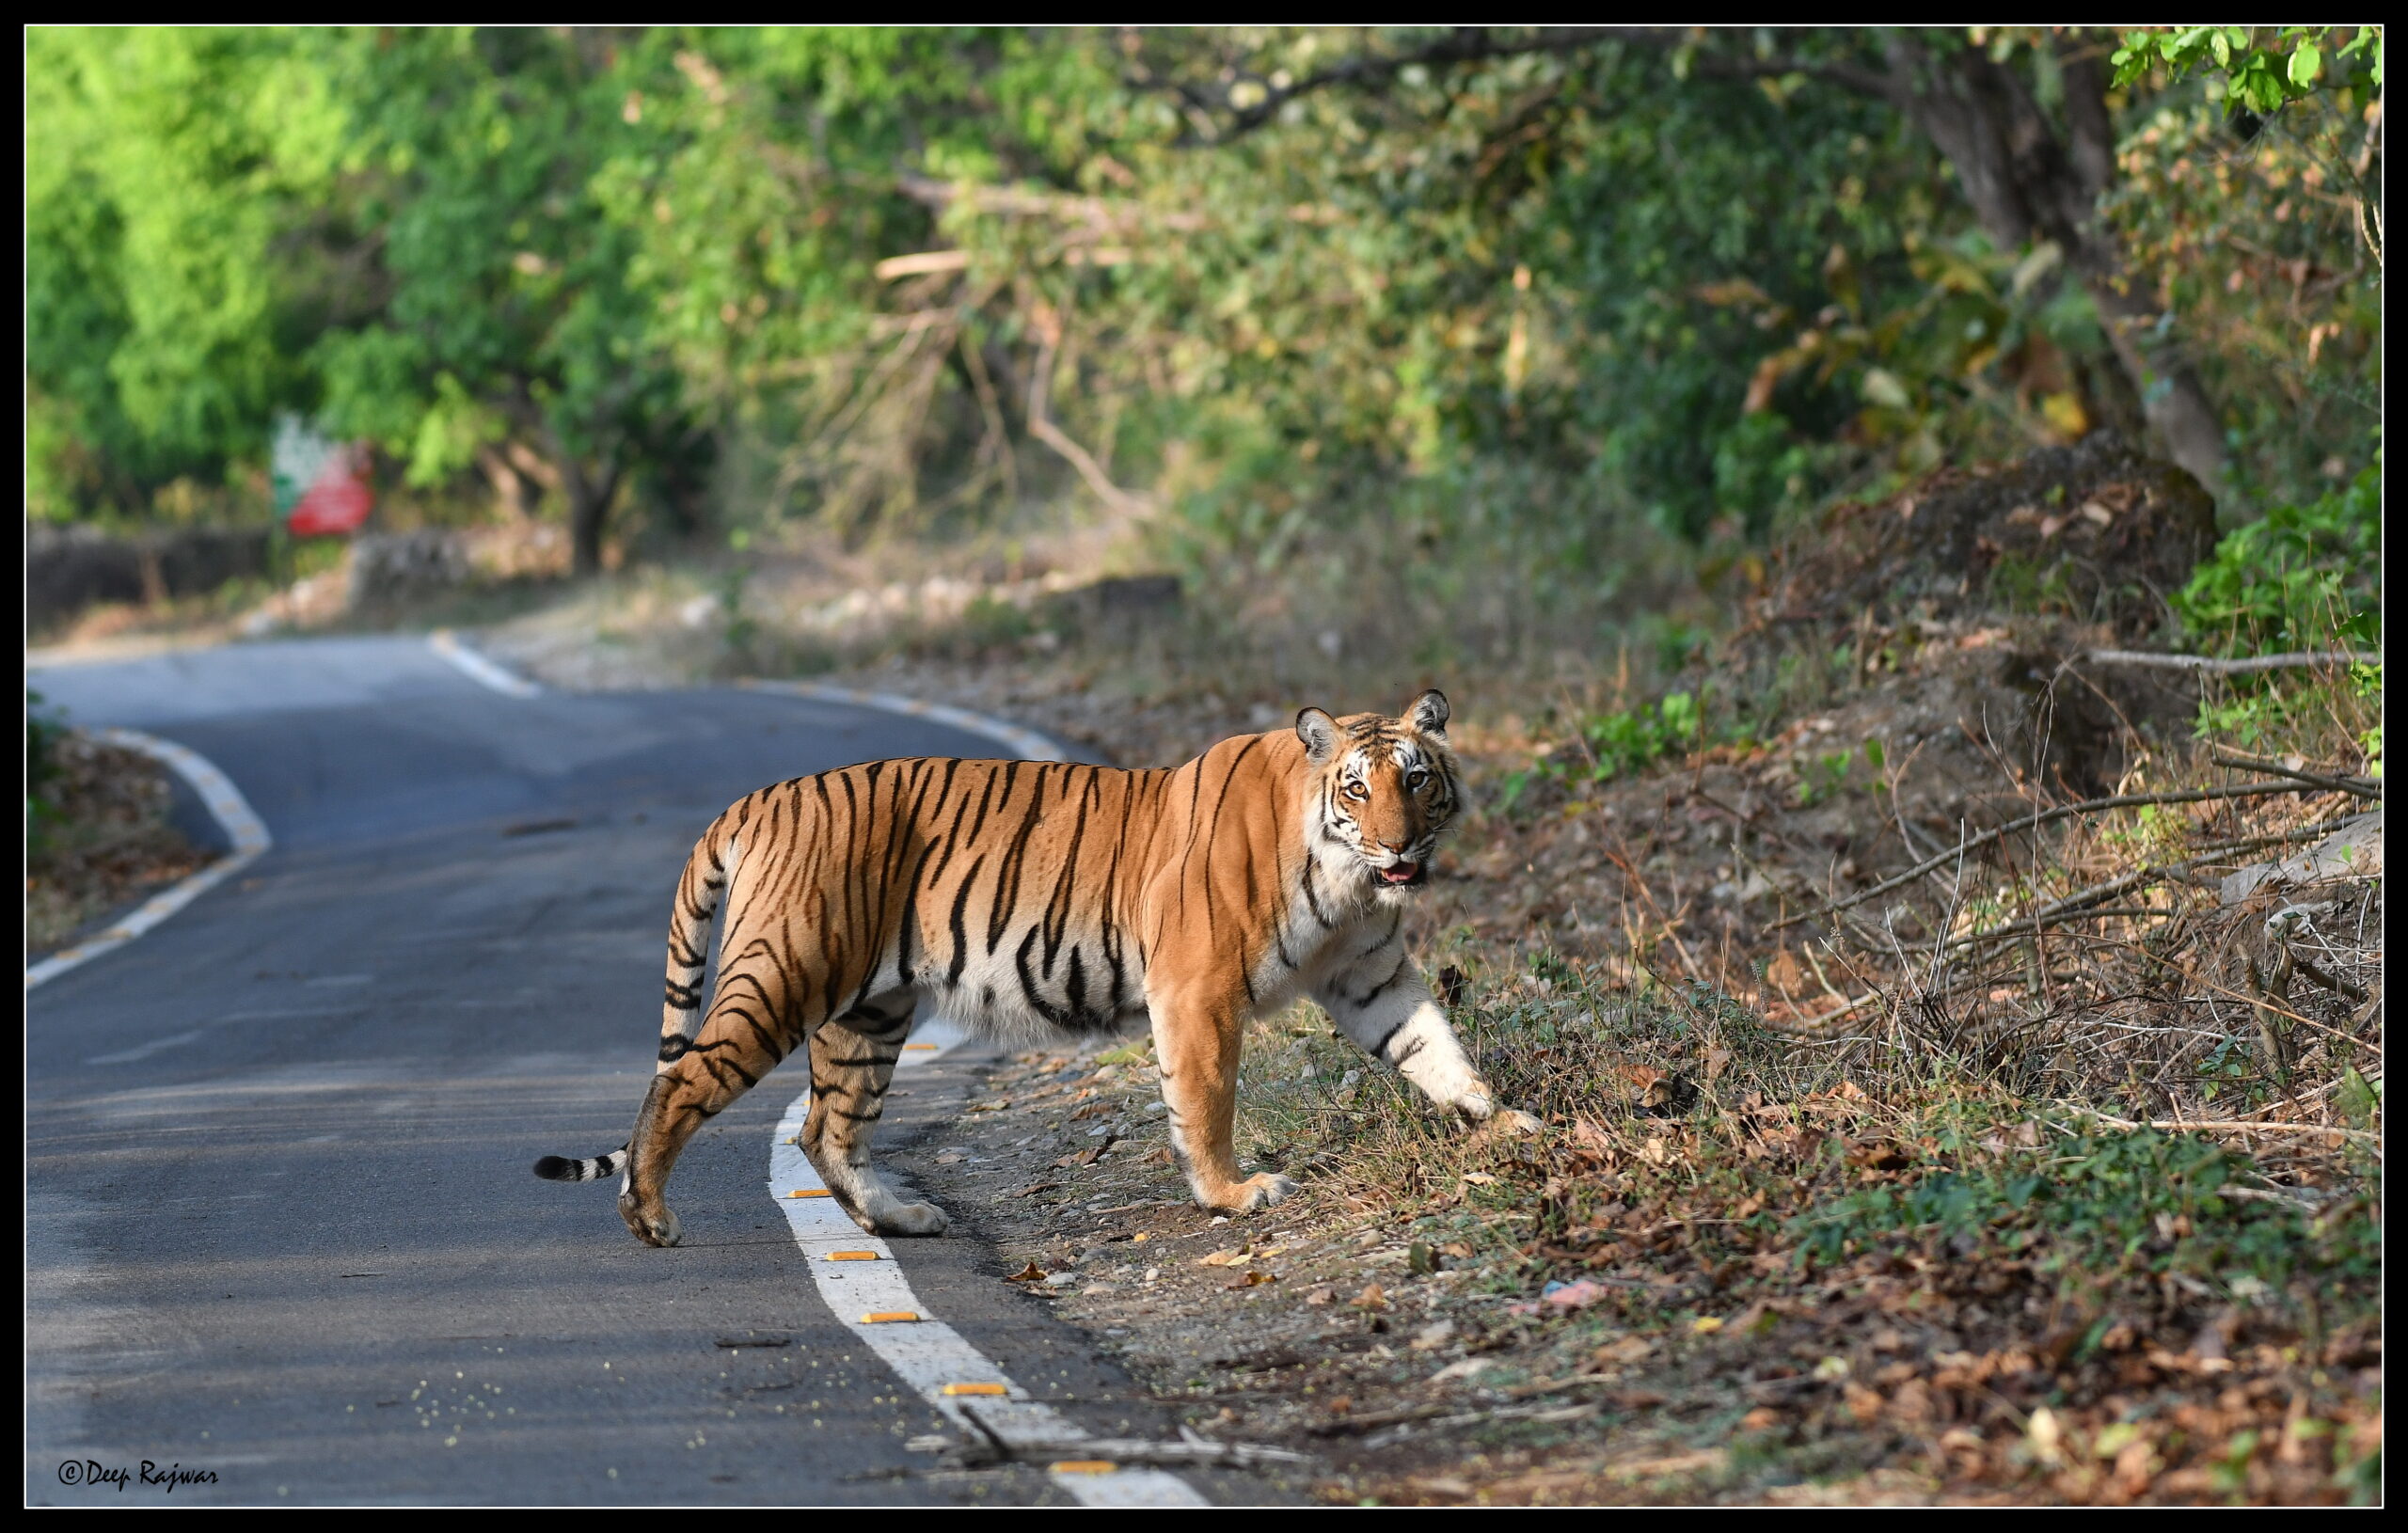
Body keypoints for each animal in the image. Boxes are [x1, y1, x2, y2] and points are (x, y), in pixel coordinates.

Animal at [534, 683, 1531, 1241]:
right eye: (1356, 790)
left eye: (1416, 779)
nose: (1398, 847)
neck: (1348, 881)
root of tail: (754, 798)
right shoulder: (1198, 990)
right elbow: (1205, 1100)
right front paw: (1230, 1194)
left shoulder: (1369, 974)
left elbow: (1434, 1048)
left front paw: (1503, 1125)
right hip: (783, 977)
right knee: (680, 1083)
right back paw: (650, 1218)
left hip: (869, 1014)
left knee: (828, 1130)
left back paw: (902, 1218)